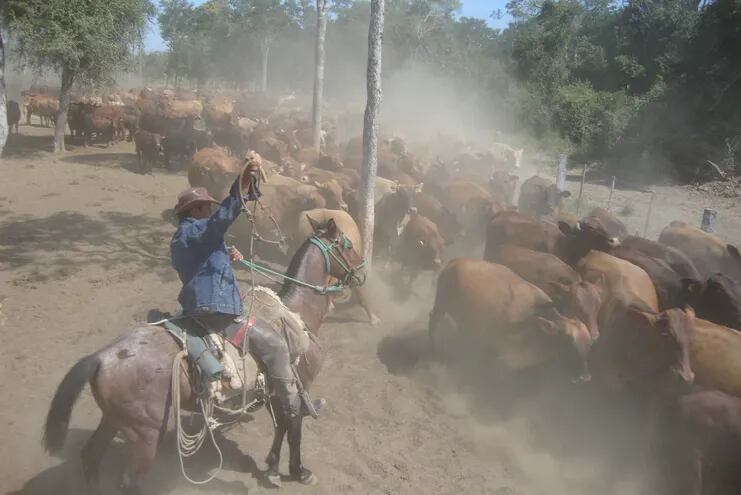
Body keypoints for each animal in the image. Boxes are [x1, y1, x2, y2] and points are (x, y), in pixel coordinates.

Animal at [42, 218, 366, 495]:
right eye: (347, 244)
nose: (362, 273)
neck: (297, 314)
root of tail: (102, 357)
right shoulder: (294, 385)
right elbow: (292, 425)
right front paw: (298, 471)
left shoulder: (276, 391)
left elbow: (282, 426)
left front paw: (273, 467)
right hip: (144, 436)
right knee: (129, 481)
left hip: (113, 420)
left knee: (90, 457)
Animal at [428, 258, 588, 382]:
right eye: (567, 339)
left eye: (588, 343)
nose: (585, 377)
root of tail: (455, 261)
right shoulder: (491, 350)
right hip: (441, 304)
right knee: (433, 321)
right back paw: (433, 350)